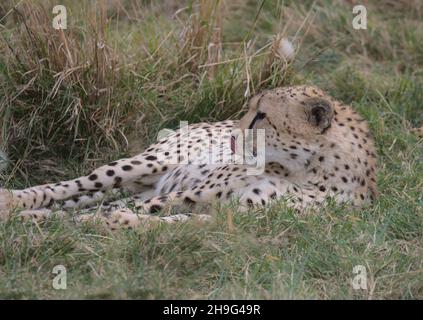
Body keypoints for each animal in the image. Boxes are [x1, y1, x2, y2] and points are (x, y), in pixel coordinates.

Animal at [0, 85, 378, 230]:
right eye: (251, 109)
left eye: (262, 116)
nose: (231, 136)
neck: (306, 172)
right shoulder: (194, 193)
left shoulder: (235, 214)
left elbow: (172, 221)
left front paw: (114, 222)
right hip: (151, 162)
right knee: (72, 186)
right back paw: (14, 202)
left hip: (144, 183)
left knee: (86, 200)